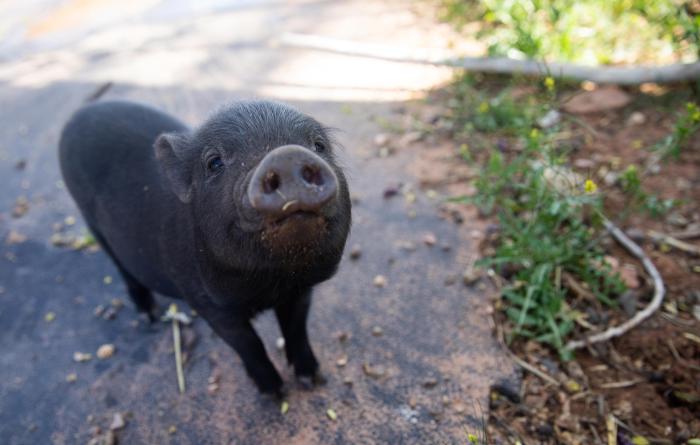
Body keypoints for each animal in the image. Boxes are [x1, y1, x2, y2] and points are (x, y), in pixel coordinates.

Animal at [59, 100, 351, 397]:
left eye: (318, 145)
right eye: (214, 162)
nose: (286, 156)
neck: (272, 285)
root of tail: (80, 113)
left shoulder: (300, 291)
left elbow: (296, 329)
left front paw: (313, 380)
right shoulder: (208, 303)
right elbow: (248, 344)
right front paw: (273, 393)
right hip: (92, 223)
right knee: (125, 270)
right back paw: (149, 317)